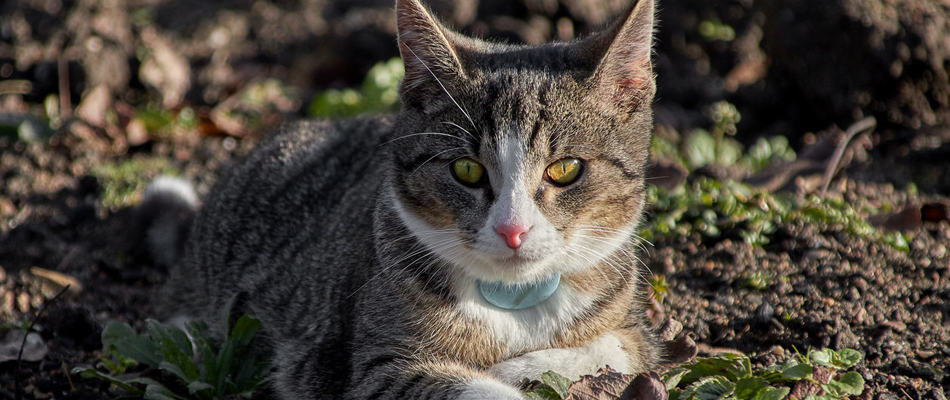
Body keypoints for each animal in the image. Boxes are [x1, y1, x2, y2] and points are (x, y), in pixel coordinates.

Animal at [156, 0, 660, 398]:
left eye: (565, 169)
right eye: (467, 170)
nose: (512, 229)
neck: (513, 302)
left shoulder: (631, 328)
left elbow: (621, 350)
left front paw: (521, 367)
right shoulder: (367, 367)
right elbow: (469, 387)